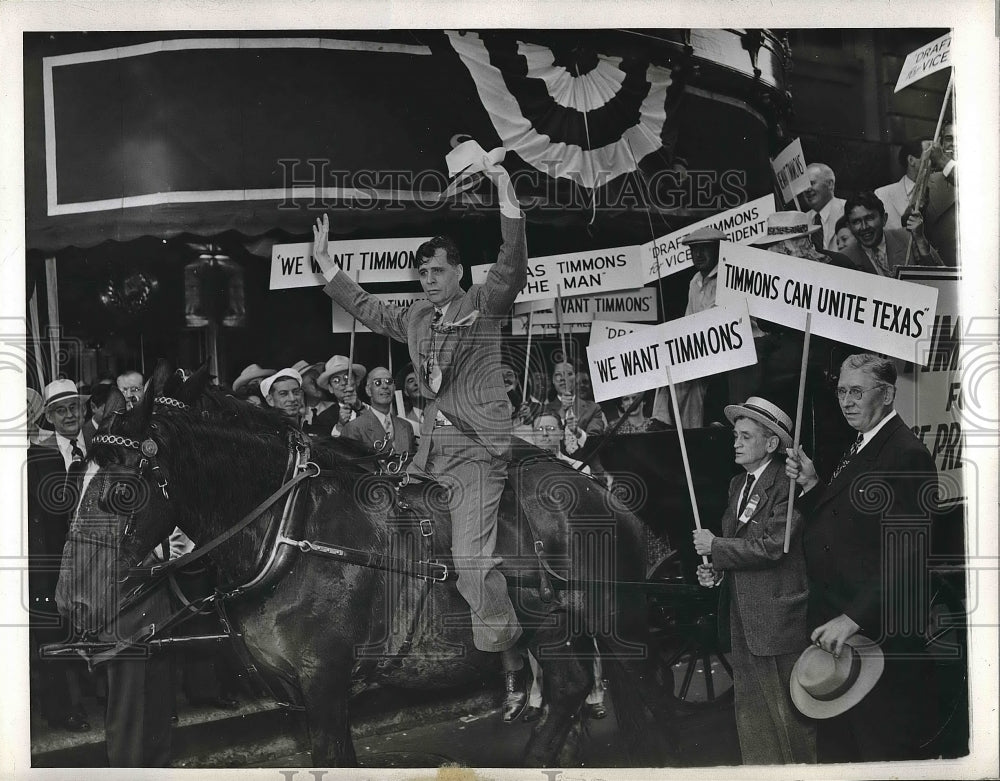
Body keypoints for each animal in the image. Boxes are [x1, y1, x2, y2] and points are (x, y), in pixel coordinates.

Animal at [56, 364, 680, 760]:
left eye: (121, 492)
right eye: (75, 480)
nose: (70, 601)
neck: (291, 531)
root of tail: (593, 484)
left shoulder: (325, 682)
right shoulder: (296, 695)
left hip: (611, 620)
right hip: (554, 626)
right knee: (570, 690)